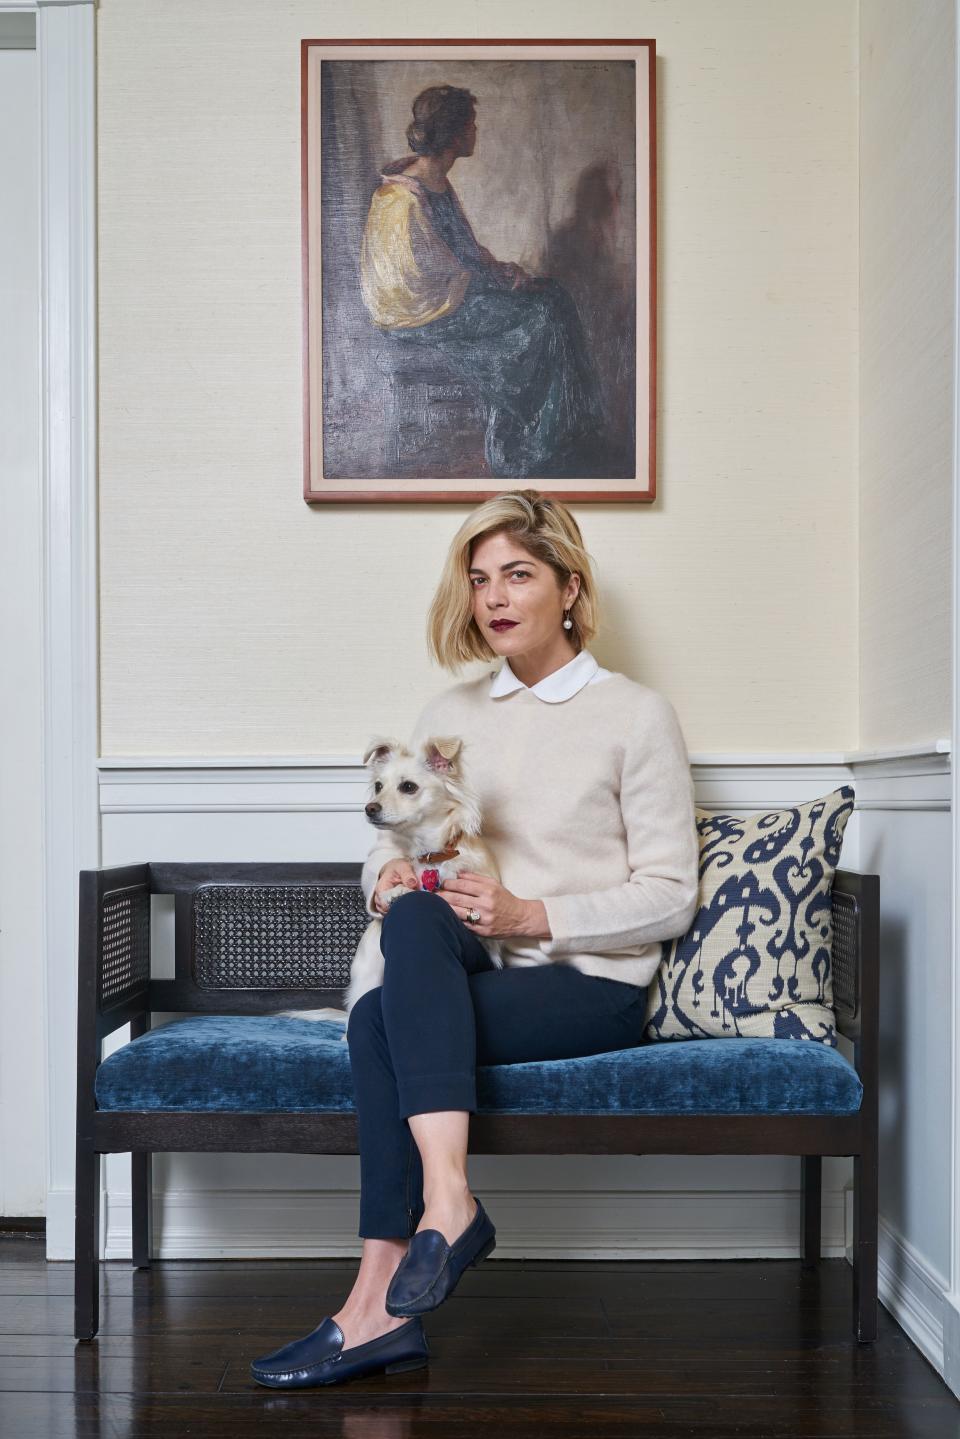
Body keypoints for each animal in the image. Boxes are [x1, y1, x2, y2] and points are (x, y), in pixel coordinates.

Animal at [346, 731, 509, 1024]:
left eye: (408, 787)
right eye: (378, 786)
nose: (369, 808)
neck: (429, 854)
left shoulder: (490, 941)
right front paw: (393, 892)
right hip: (368, 977)